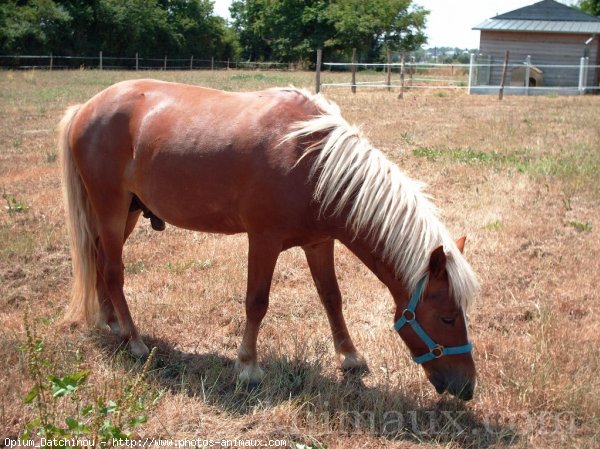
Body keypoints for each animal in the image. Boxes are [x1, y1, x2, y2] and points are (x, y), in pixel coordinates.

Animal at [58, 79, 480, 400]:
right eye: (446, 316)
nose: (467, 388)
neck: (311, 159)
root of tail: (85, 107)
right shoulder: (263, 240)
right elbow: (256, 302)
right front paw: (247, 367)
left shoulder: (319, 242)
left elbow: (332, 298)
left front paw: (349, 357)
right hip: (111, 209)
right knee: (114, 271)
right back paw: (133, 340)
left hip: (126, 212)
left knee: (99, 262)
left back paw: (111, 322)